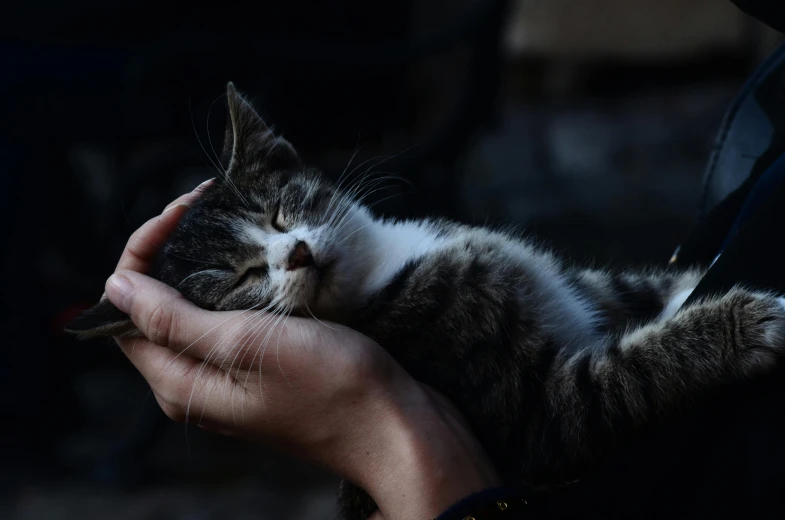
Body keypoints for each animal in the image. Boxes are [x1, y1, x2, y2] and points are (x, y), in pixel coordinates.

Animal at [69, 82, 784, 520]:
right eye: (240, 279)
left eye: (278, 213)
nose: (295, 255)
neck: (382, 265)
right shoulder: (528, 415)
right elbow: (610, 391)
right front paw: (744, 326)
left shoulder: (585, 286)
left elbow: (627, 287)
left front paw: (689, 280)